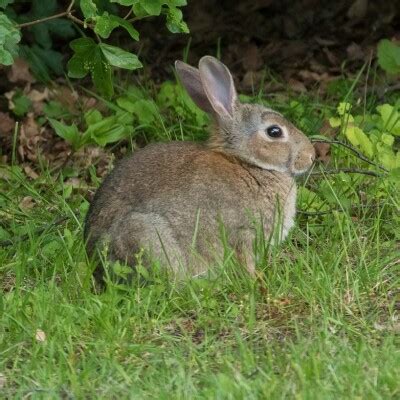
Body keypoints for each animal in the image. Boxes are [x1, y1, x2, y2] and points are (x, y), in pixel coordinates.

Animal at [84, 55, 316, 278]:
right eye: (274, 132)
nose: (311, 156)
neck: (249, 164)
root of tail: (93, 253)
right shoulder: (243, 233)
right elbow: (245, 260)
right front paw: (256, 279)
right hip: (146, 235)